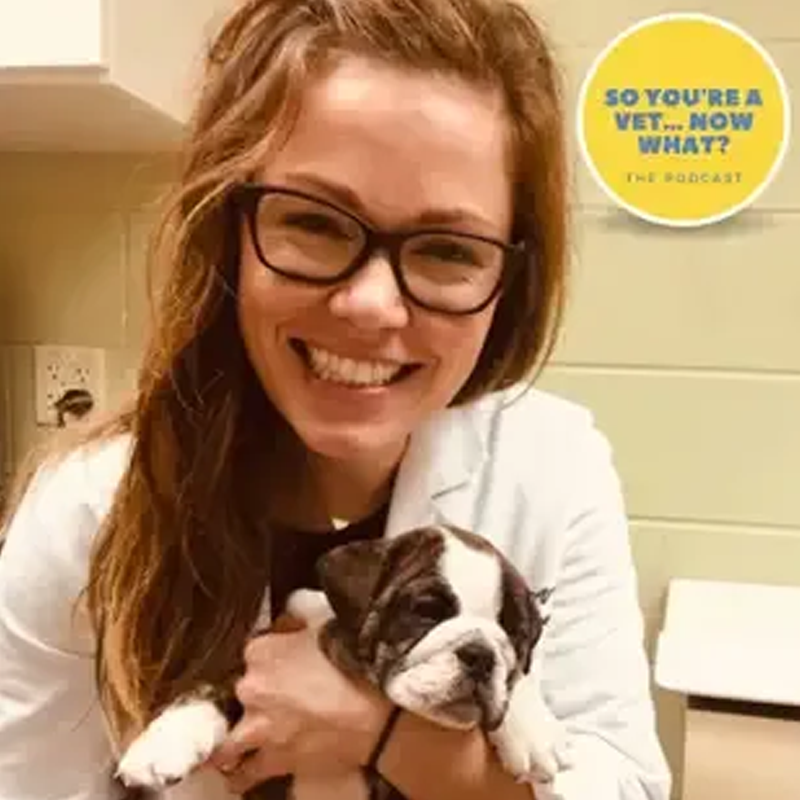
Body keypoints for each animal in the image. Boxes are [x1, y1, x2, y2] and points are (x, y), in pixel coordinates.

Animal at [117, 520, 568, 796]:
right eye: (426, 611)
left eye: (515, 635)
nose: (480, 654)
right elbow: (211, 686)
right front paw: (163, 744)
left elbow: (519, 678)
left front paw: (532, 730)